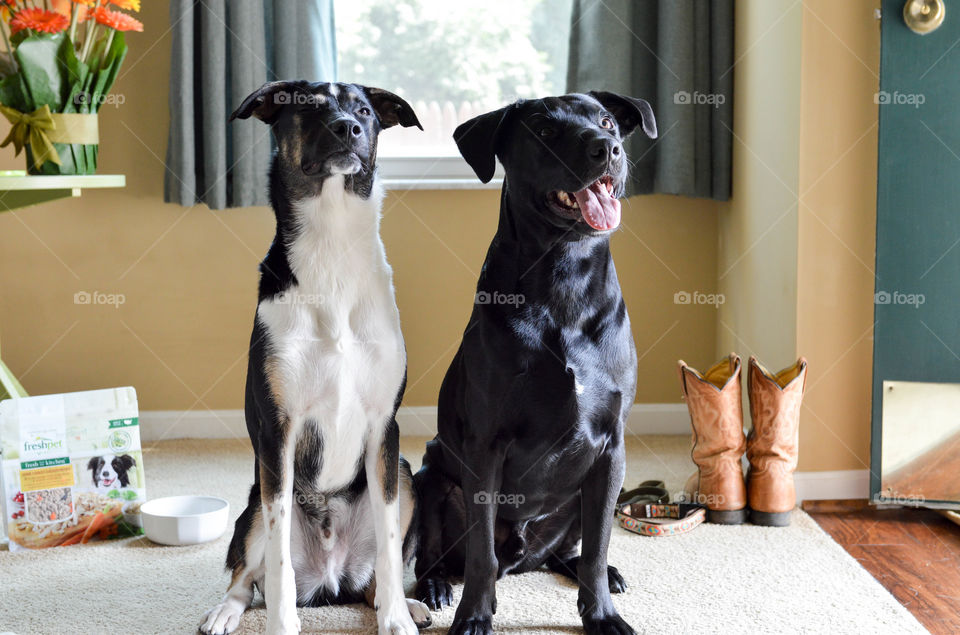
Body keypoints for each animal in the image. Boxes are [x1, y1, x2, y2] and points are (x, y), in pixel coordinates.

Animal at [199, 82, 428, 635]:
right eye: (307, 106)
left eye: (365, 109)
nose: (348, 126)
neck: (333, 245)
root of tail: (330, 579)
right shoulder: (278, 431)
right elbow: (277, 565)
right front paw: (282, 627)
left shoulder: (384, 428)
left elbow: (391, 550)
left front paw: (395, 618)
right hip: (252, 504)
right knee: (246, 577)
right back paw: (224, 611)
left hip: (406, 474)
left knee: (374, 578)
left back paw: (403, 604)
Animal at [408, 90, 656, 635]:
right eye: (543, 130)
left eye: (607, 121)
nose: (606, 148)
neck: (565, 273)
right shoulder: (485, 446)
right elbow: (480, 554)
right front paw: (475, 616)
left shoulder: (611, 447)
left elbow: (599, 542)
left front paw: (601, 614)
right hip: (429, 478)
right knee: (437, 556)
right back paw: (436, 587)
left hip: (579, 497)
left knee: (569, 553)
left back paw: (596, 570)